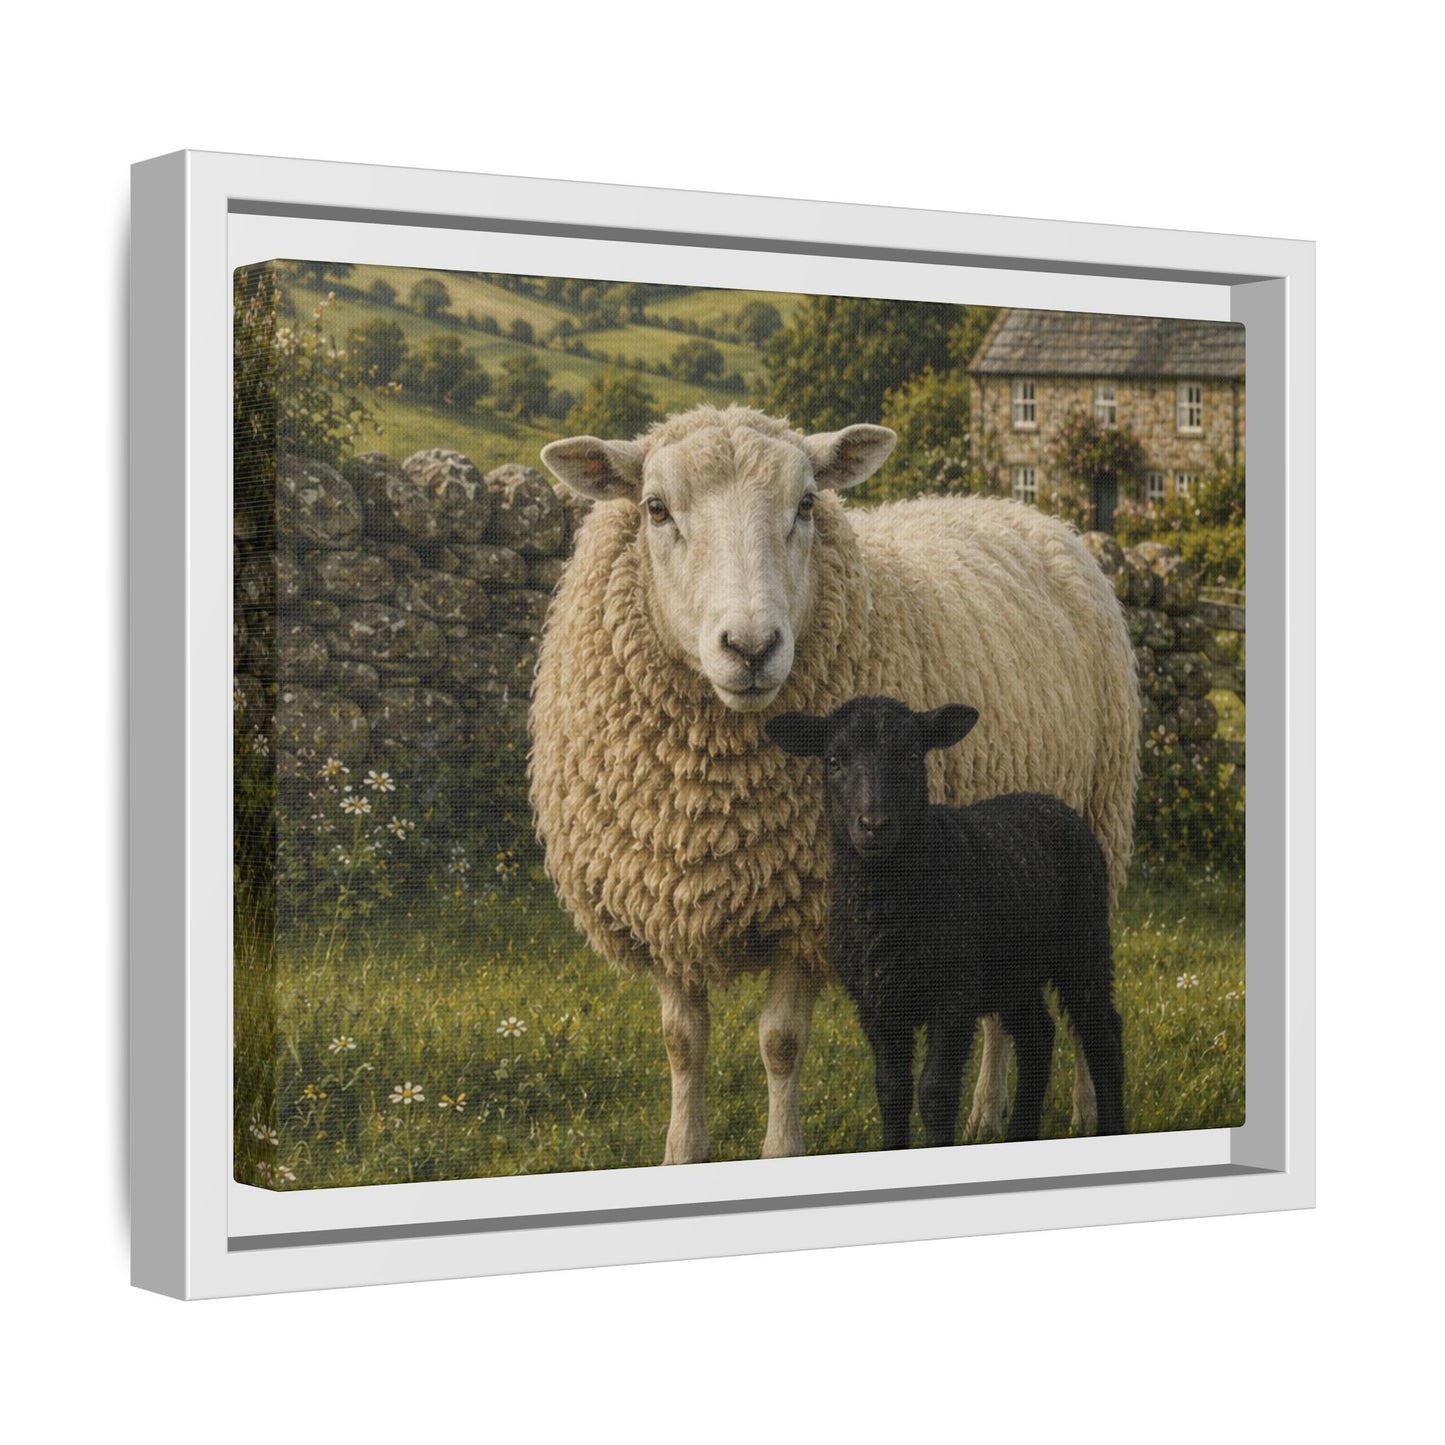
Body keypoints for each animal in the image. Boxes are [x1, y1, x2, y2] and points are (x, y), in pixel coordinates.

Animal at [766, 696, 1125, 1147]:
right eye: (834, 761)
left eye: (911, 756)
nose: (874, 825)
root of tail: (1053, 803)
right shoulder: (877, 1002)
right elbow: (892, 1090)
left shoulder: (954, 995)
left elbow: (935, 1092)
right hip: (1013, 972)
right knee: (1038, 1037)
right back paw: (1020, 1134)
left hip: (1085, 942)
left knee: (1103, 1034)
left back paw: (1112, 1127)